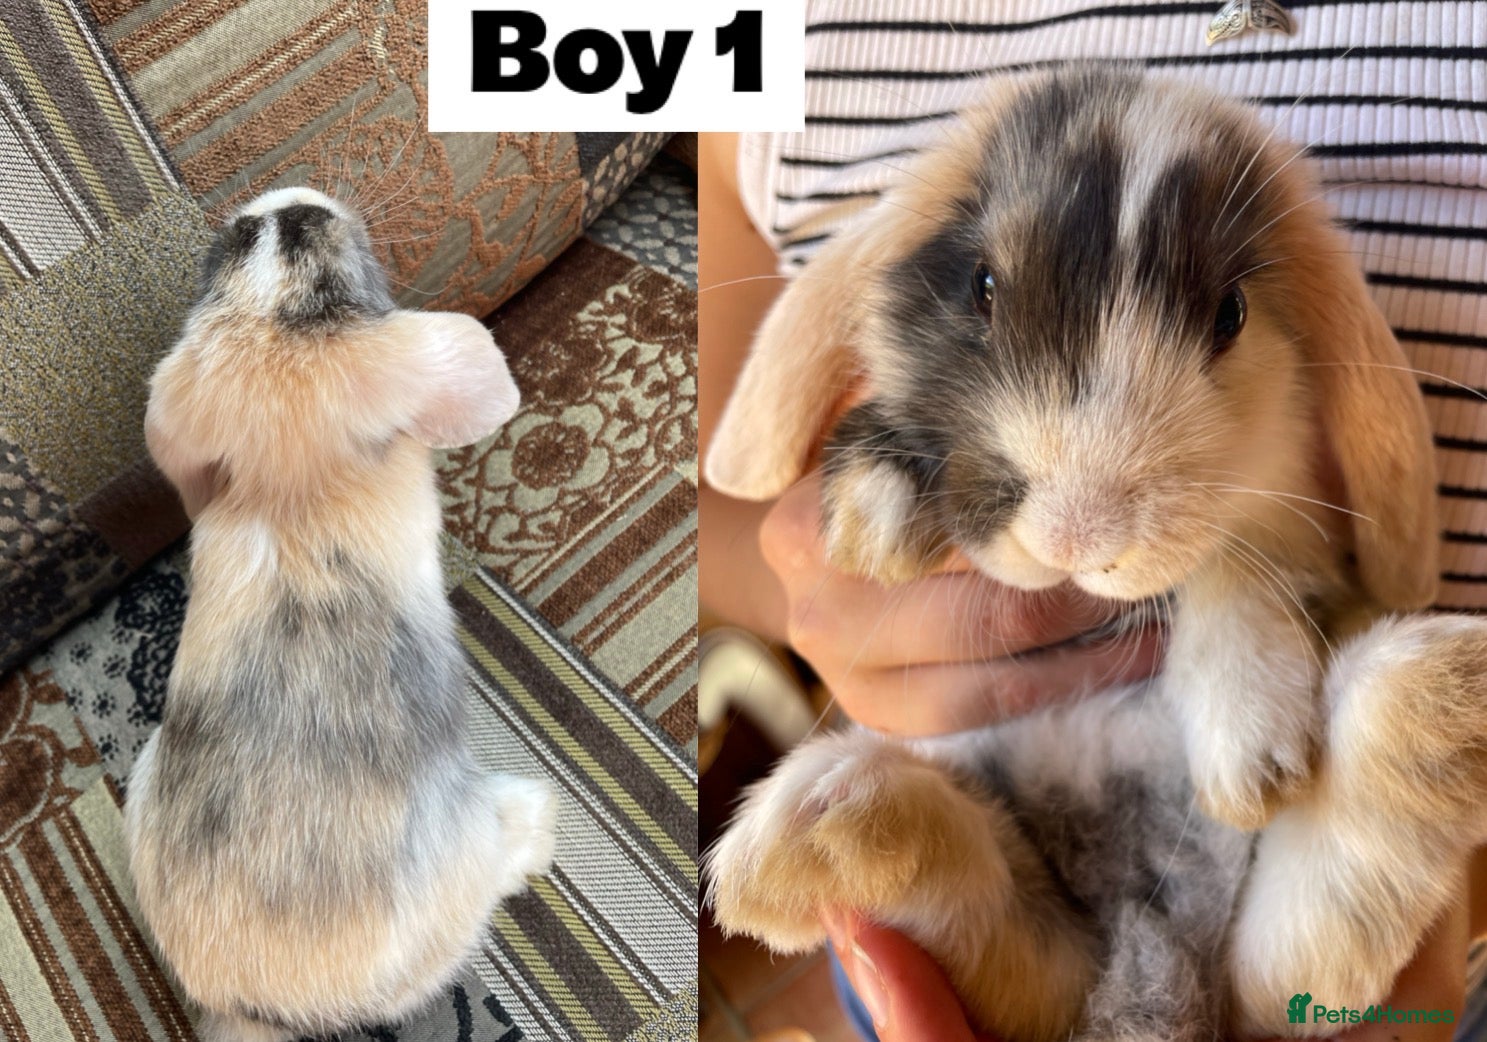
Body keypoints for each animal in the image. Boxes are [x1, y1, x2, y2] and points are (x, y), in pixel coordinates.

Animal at [705, 67, 1487, 1040]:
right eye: (982, 285)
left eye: (1230, 313)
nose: (1076, 534)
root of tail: (1145, 961)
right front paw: (872, 520)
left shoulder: (1283, 522)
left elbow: (1232, 565)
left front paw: (1251, 760)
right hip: (1032, 953)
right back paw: (806, 844)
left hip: (1258, 972)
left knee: (1306, 956)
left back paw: (1441, 700)